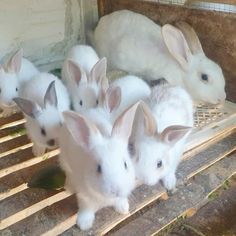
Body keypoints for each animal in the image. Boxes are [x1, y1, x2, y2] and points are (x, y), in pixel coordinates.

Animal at [59, 102, 140, 230]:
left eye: (125, 164)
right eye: (98, 168)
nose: (116, 191)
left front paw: (123, 209)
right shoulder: (84, 197)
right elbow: (86, 208)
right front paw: (84, 224)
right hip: (64, 161)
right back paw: (68, 188)